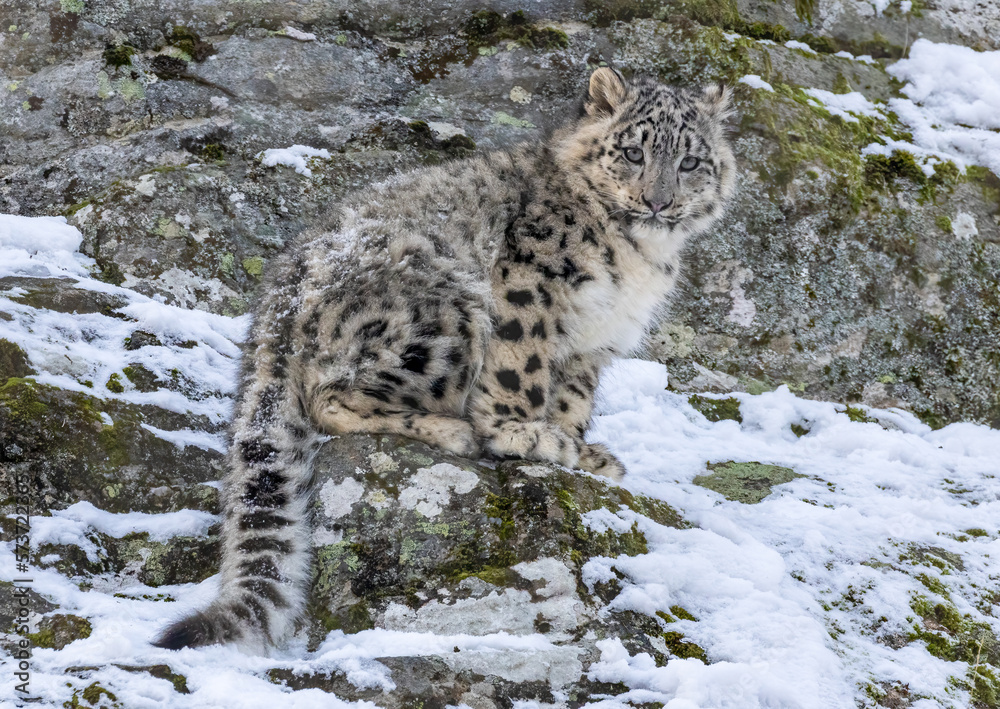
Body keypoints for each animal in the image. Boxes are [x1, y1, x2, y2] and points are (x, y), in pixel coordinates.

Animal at [153, 67, 736, 652]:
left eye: (690, 162)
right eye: (634, 152)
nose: (658, 201)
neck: (639, 257)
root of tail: (277, 303)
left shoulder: (591, 345)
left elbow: (573, 399)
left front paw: (579, 450)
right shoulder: (532, 285)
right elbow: (522, 370)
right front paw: (525, 435)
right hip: (448, 314)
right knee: (328, 398)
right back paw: (450, 429)